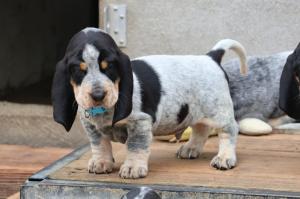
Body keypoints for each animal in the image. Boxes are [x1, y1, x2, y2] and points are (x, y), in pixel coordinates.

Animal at [52, 26, 247, 179]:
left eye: (110, 67)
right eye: (79, 70)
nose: (98, 95)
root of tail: (210, 57)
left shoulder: (139, 122)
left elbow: (136, 145)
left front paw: (132, 167)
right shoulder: (91, 126)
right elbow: (99, 144)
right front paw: (101, 162)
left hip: (218, 111)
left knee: (229, 130)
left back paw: (224, 158)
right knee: (201, 129)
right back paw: (191, 148)